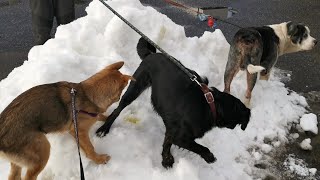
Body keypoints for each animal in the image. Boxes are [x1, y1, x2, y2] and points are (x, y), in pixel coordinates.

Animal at [96, 37, 251, 168]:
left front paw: (166, 160)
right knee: (117, 110)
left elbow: (167, 143)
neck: (210, 105)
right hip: (135, 87)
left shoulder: (172, 128)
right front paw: (209, 157)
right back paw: (104, 129)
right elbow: (200, 147)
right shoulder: (181, 136)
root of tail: (152, 54)